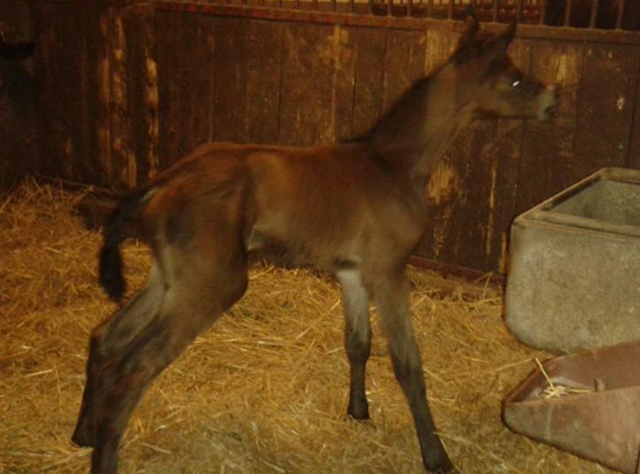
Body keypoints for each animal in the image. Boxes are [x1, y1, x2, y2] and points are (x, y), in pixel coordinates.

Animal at [72, 15, 556, 474]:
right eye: (515, 80)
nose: (552, 104)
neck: (392, 164)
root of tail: (163, 181)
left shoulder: (352, 271)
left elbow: (357, 342)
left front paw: (358, 410)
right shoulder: (389, 270)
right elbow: (408, 365)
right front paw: (437, 457)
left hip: (168, 277)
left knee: (106, 337)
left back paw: (83, 434)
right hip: (210, 284)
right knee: (134, 366)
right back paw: (104, 454)